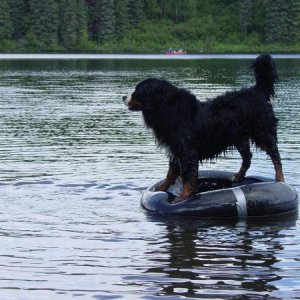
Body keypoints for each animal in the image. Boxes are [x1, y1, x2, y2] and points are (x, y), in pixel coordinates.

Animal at [123, 54, 284, 203]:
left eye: (136, 91)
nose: (123, 97)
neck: (167, 108)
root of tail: (257, 90)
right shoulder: (175, 148)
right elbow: (171, 173)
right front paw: (161, 188)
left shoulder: (187, 150)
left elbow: (188, 176)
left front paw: (183, 196)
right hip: (240, 137)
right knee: (247, 157)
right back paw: (238, 176)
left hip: (263, 132)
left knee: (275, 157)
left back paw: (280, 180)